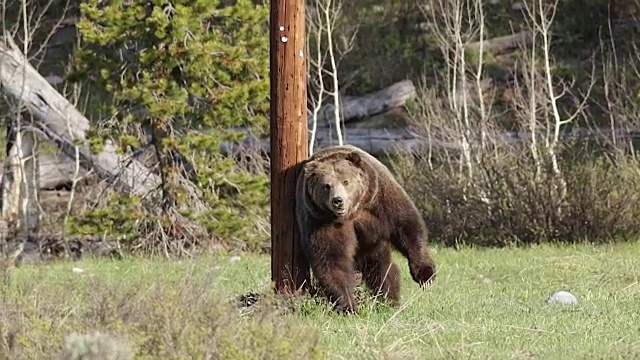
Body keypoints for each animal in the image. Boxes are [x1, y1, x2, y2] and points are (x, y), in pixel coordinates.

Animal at [296, 145, 436, 314]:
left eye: (346, 181)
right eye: (326, 186)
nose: (338, 201)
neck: (353, 212)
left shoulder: (379, 197)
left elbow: (407, 225)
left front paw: (425, 273)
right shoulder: (321, 220)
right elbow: (331, 259)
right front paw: (348, 304)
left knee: (382, 269)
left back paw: (390, 299)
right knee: (378, 270)